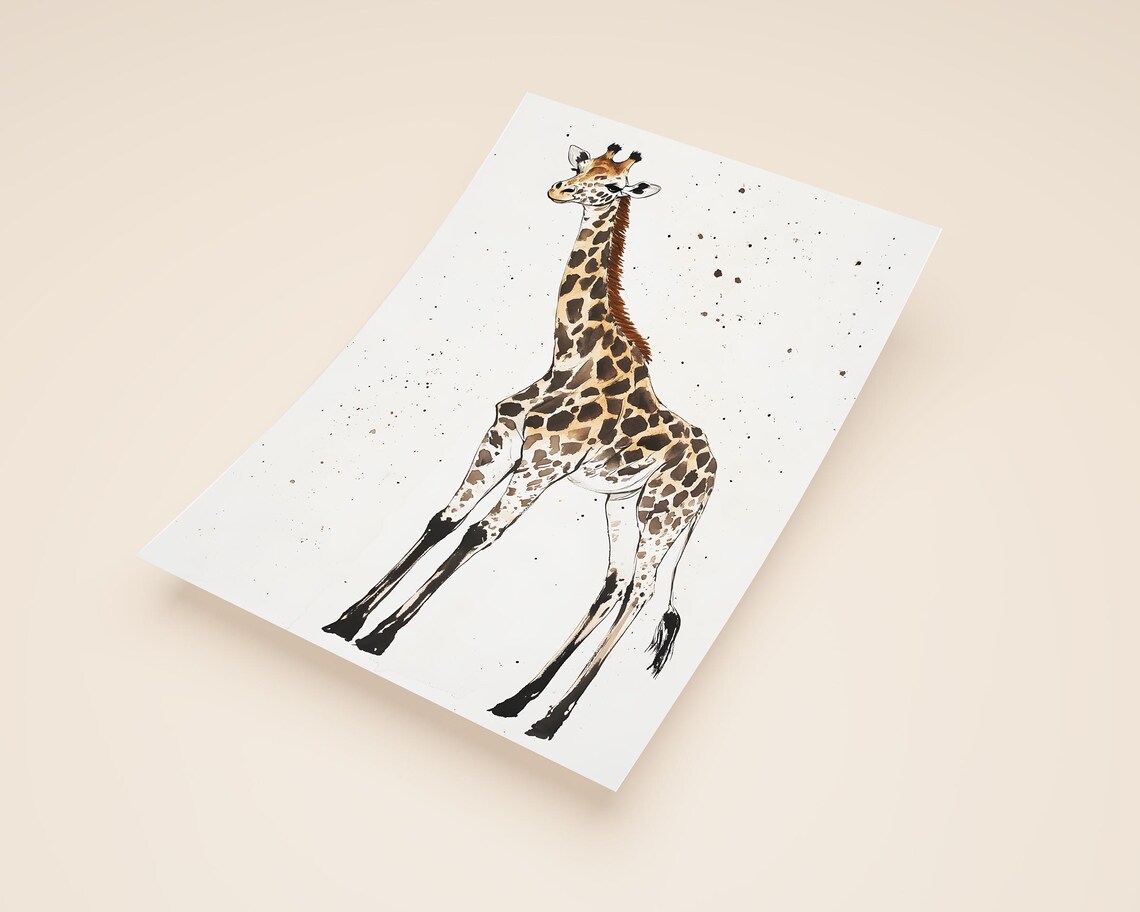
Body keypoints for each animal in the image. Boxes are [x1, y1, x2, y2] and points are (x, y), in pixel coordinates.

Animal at [322, 143, 717, 739]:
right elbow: (444, 522)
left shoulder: (541, 467)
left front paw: (380, 636)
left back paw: (550, 721)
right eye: (583, 165)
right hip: (622, 504)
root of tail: (716, 478)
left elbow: (478, 534)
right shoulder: (503, 441)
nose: (559, 189)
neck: (571, 357)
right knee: (616, 583)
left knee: (642, 593)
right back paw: (515, 702)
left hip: (663, 514)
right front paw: (347, 620)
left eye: (612, 185)